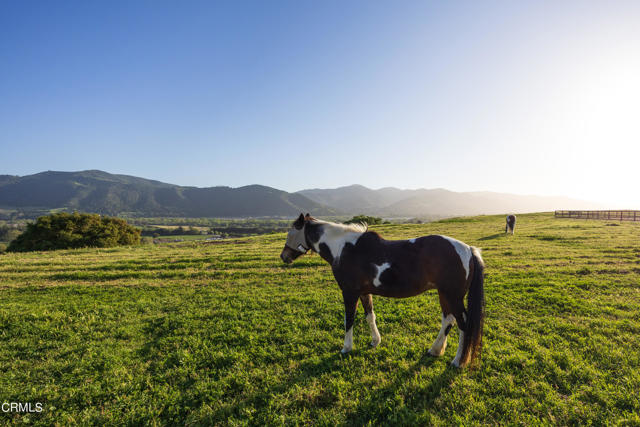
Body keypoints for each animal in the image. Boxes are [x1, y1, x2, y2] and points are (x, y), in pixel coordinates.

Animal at [280, 214, 484, 368]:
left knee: (463, 324)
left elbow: (349, 319)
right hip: (444, 295)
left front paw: (346, 347)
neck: (343, 248)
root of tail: (468, 249)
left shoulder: (349, 293)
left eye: (291, 232)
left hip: (453, 296)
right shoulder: (364, 292)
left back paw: (458, 360)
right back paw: (435, 350)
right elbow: (370, 316)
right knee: (448, 320)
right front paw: (375, 341)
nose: (284, 256)